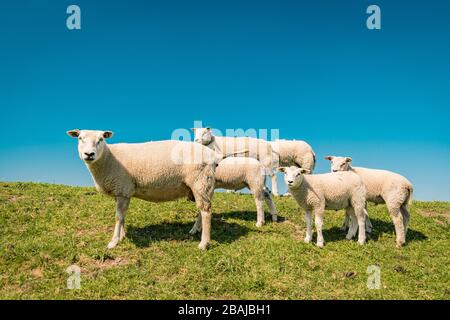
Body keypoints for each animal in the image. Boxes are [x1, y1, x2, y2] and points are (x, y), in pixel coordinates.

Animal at [66, 129, 243, 251]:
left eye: (101, 139)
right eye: (80, 138)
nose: (89, 154)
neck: (108, 158)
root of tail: (214, 155)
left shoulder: (123, 188)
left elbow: (118, 217)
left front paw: (114, 241)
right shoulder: (122, 191)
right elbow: (122, 216)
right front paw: (122, 235)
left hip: (200, 180)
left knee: (206, 210)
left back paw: (204, 243)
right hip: (204, 184)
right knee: (203, 209)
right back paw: (194, 230)